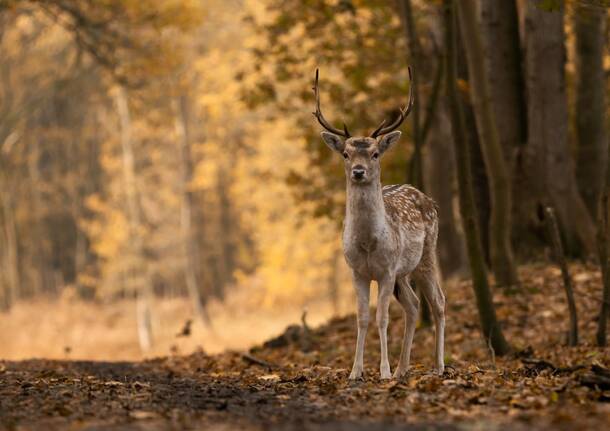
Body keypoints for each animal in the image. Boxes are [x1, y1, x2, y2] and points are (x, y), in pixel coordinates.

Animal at [312, 66, 444, 380]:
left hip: (427, 256)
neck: (368, 244)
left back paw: (438, 365)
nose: (359, 171)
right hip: (403, 273)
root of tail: (429, 199)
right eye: (346, 154)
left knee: (438, 302)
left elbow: (382, 318)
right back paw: (403, 369)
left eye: (374, 153)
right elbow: (362, 318)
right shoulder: (357, 271)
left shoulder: (386, 270)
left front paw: (383, 371)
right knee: (414, 305)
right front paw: (355, 371)